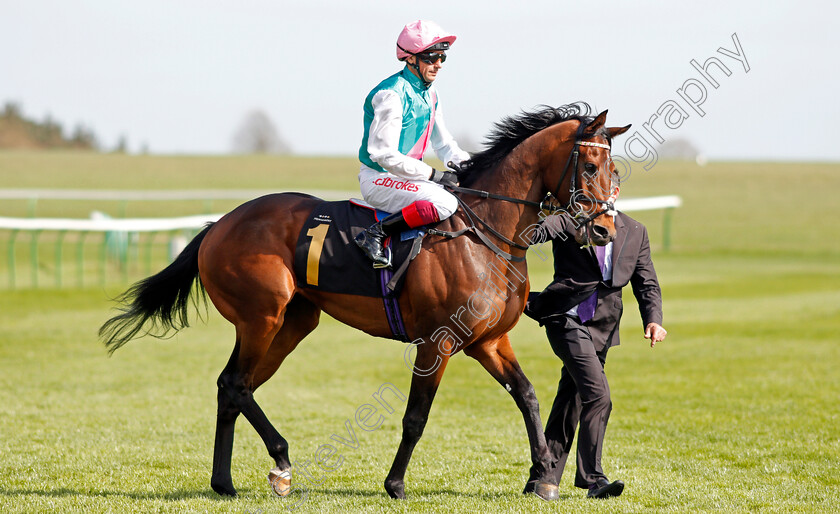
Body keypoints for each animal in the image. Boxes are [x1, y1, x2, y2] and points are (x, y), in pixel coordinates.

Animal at [101, 102, 632, 498]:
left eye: (615, 170)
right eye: (589, 166)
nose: (605, 230)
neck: (484, 234)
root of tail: (218, 226)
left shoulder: (489, 341)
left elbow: (527, 395)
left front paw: (543, 476)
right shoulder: (437, 342)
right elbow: (416, 416)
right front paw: (395, 483)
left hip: (293, 322)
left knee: (236, 386)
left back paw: (228, 481)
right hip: (261, 318)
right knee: (235, 383)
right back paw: (279, 460)